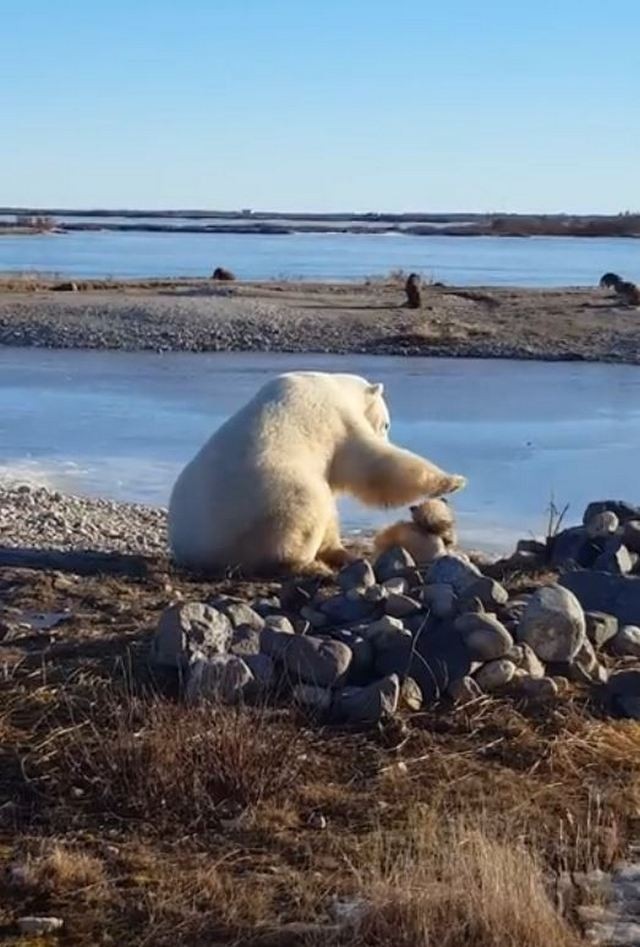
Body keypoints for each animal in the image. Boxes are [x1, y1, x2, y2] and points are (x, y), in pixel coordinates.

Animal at [168, 374, 464, 572]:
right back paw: (310, 565)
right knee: (308, 509)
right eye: (387, 423)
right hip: (271, 500)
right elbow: (371, 463)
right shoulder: (337, 420)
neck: (335, 386)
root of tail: (198, 550)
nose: (387, 431)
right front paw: (453, 481)